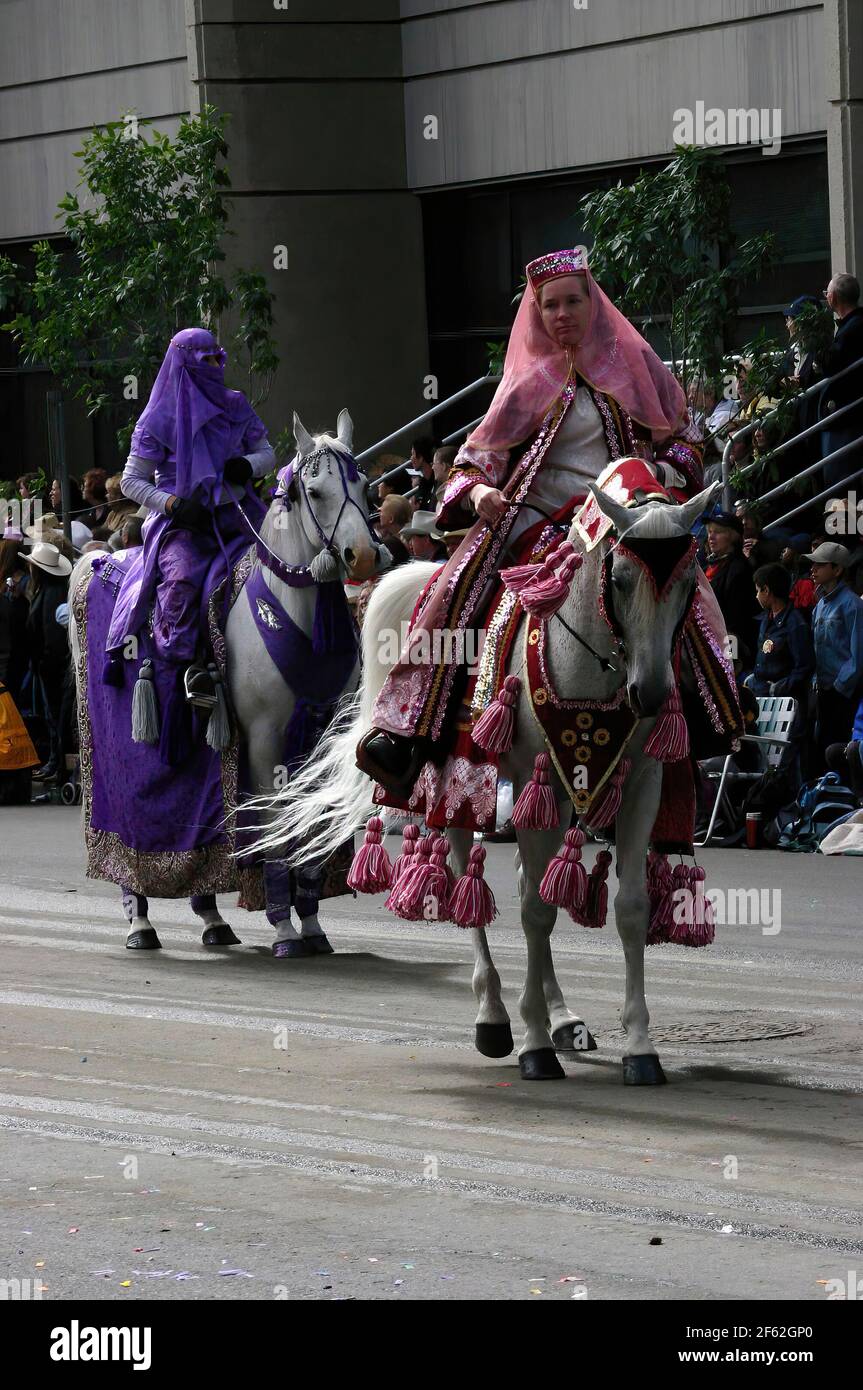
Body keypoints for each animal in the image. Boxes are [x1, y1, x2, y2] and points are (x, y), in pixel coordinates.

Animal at [67, 408, 377, 956]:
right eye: (314, 491)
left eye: (361, 484)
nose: (361, 555)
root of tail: (95, 560)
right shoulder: (265, 739)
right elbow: (277, 823)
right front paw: (284, 930)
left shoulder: (325, 733)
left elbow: (313, 822)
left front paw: (312, 926)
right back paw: (138, 921)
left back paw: (212, 918)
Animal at [252, 483, 717, 1078]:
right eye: (620, 578)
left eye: (689, 583)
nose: (652, 694)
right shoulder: (537, 783)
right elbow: (536, 911)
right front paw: (534, 1044)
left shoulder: (641, 785)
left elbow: (628, 909)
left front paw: (639, 1048)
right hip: (459, 787)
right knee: (464, 875)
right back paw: (494, 1016)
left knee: (526, 880)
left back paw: (562, 1018)